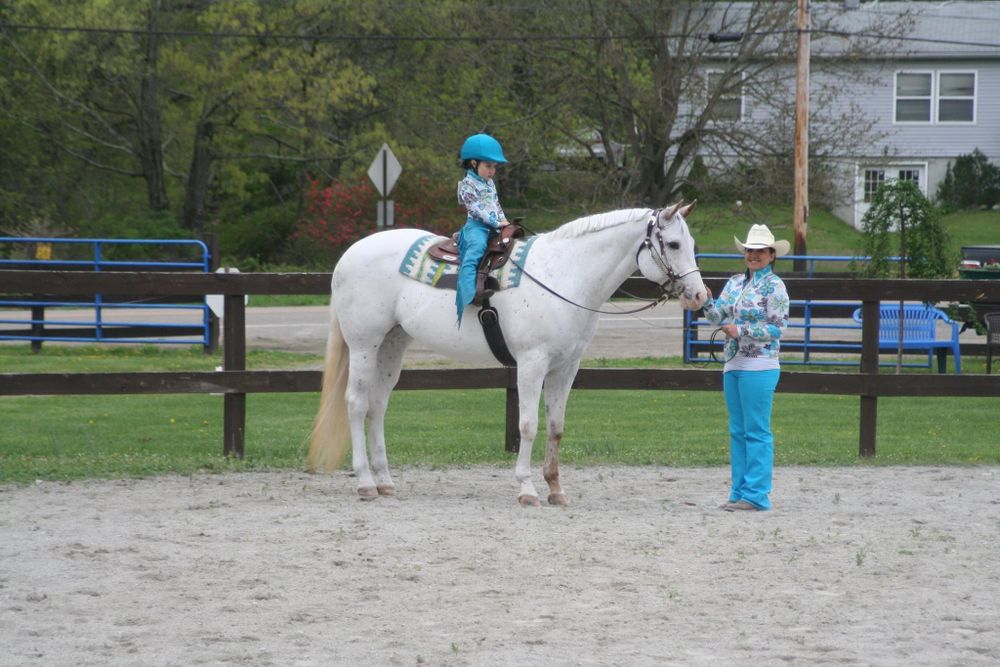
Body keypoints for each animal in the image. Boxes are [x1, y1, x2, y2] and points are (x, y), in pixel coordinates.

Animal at [308, 204, 708, 506]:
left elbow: (556, 427)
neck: (563, 275)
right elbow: (528, 425)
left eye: (691, 243)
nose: (700, 296)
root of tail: (349, 255)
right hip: (364, 345)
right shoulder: (531, 364)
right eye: (673, 244)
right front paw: (527, 489)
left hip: (392, 344)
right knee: (357, 404)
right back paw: (365, 482)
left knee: (377, 408)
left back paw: (386, 481)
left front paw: (556, 489)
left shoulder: (566, 368)